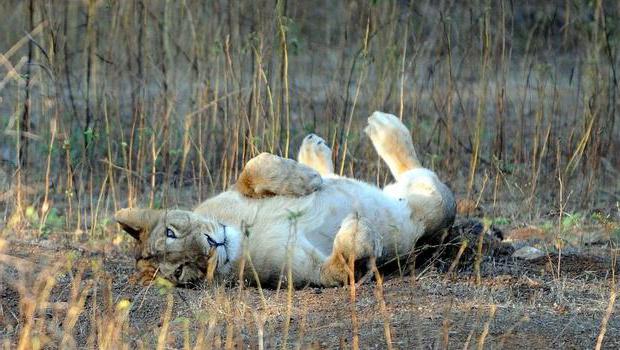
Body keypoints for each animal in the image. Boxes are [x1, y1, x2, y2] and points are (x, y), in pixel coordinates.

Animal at [115, 113, 456, 288]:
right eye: (180, 272)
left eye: (171, 232)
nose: (212, 246)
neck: (241, 234)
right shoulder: (309, 273)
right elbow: (343, 264)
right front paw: (357, 229)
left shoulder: (232, 191)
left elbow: (252, 167)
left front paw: (307, 179)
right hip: (434, 207)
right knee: (420, 175)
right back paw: (381, 130)